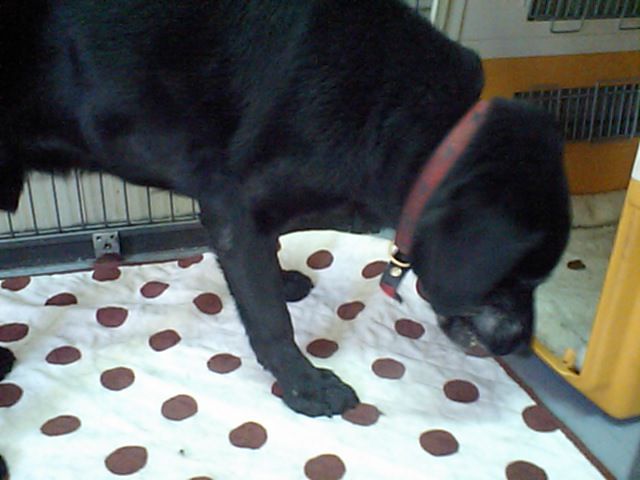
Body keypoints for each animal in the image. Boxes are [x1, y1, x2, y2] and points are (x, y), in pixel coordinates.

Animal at [0, 0, 570, 435]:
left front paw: (285, 281)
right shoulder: (236, 211)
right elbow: (272, 320)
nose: (520, 346)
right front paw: (306, 386)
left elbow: (272, 260)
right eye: (520, 275)